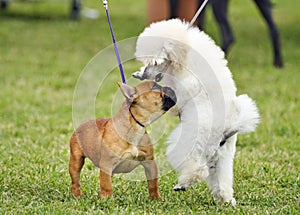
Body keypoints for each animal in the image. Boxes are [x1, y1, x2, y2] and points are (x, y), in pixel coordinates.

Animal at [132, 19, 258, 206]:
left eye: (155, 62)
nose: (145, 73)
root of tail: (226, 131)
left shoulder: (182, 86)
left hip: (191, 143)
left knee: (198, 169)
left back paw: (183, 184)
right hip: (221, 156)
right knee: (221, 179)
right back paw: (225, 199)